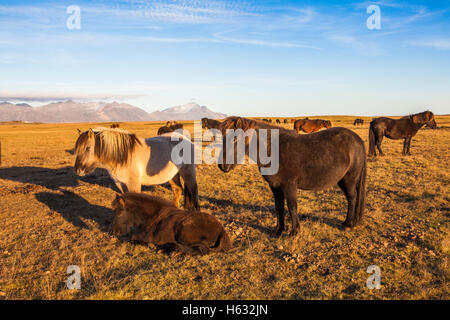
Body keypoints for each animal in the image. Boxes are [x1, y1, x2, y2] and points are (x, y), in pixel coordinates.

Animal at [217, 117, 366, 235]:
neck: (273, 149)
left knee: (352, 198)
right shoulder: (275, 187)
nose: (222, 165)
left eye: (235, 139)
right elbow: (279, 207)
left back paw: (348, 224)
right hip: (342, 180)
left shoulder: (289, 185)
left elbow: (292, 206)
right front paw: (279, 230)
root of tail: (358, 140)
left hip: (349, 179)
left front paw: (294, 232)